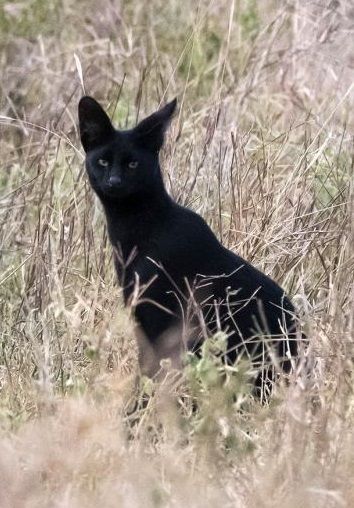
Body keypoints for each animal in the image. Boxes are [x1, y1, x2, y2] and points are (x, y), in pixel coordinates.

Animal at [79, 95, 300, 388]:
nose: (114, 181)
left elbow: (151, 378)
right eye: (103, 161)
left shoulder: (160, 322)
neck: (136, 227)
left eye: (133, 164)